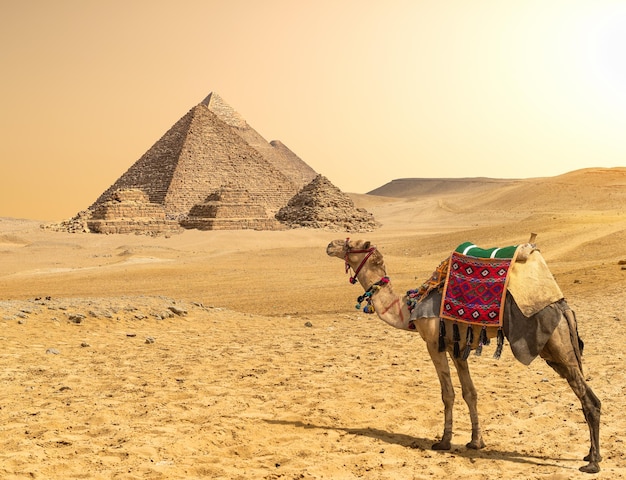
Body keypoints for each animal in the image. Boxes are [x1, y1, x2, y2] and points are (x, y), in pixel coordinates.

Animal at [326, 237, 600, 472]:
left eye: (354, 244)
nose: (330, 245)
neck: (409, 308)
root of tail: (564, 307)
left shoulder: (433, 344)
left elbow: (448, 394)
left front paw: (444, 441)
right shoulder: (458, 348)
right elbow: (471, 393)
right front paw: (476, 442)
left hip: (554, 343)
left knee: (589, 399)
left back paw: (593, 462)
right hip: (558, 351)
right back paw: (589, 454)